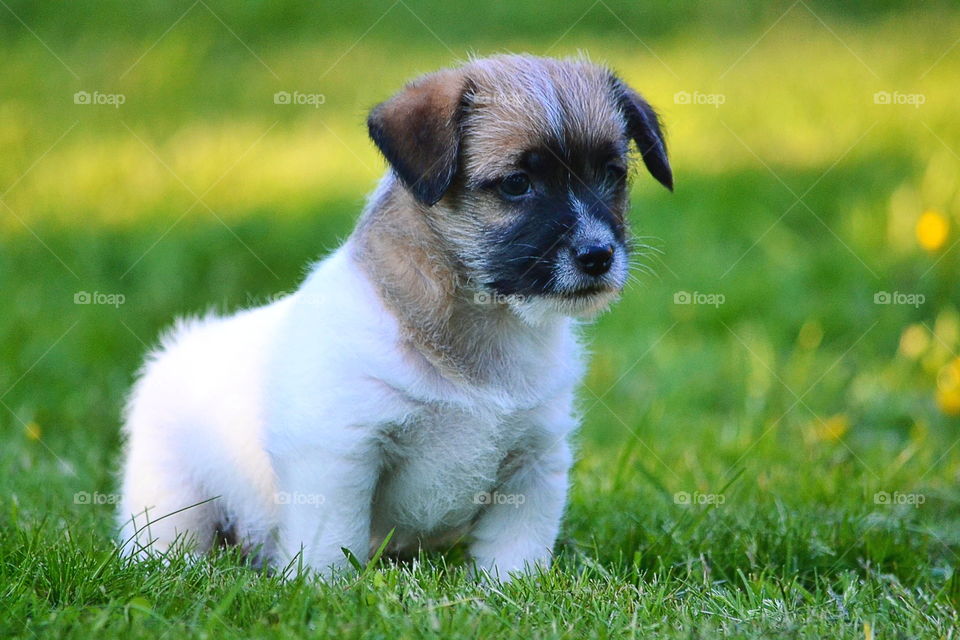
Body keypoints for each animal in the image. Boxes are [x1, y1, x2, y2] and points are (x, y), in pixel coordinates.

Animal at [116, 55, 672, 580]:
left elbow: (516, 554)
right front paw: (325, 593)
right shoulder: (339, 457)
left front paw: (512, 594)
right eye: (517, 184)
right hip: (172, 498)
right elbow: (329, 546)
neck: (483, 324)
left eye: (612, 174)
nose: (598, 256)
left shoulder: (533, 461)